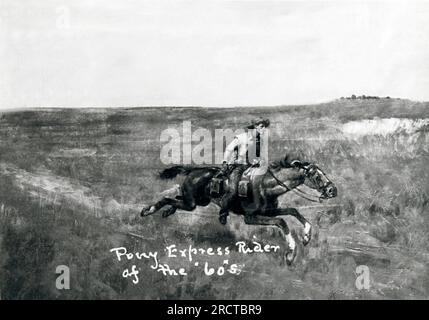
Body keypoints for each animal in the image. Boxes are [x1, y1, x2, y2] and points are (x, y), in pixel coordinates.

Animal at [142, 156, 336, 264]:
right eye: (316, 175)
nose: (332, 190)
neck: (265, 184)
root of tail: (192, 170)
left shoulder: (268, 211)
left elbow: (293, 211)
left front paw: (306, 236)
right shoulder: (251, 217)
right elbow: (282, 222)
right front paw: (290, 254)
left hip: (198, 201)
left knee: (175, 199)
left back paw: (166, 212)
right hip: (192, 203)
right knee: (168, 199)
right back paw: (147, 210)